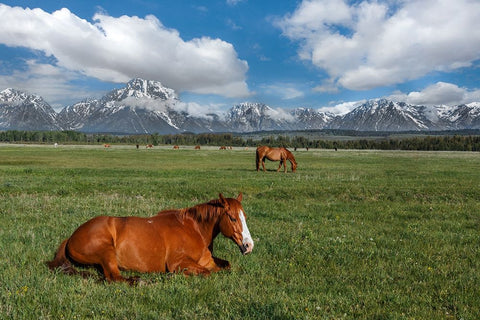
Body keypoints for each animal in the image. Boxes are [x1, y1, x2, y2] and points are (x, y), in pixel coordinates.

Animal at [47, 192, 253, 282]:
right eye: (232, 217)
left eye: (245, 216)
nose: (248, 245)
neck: (194, 229)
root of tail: (71, 237)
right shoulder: (178, 262)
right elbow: (206, 273)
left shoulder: (208, 261)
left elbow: (226, 266)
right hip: (106, 252)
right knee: (114, 277)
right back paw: (139, 281)